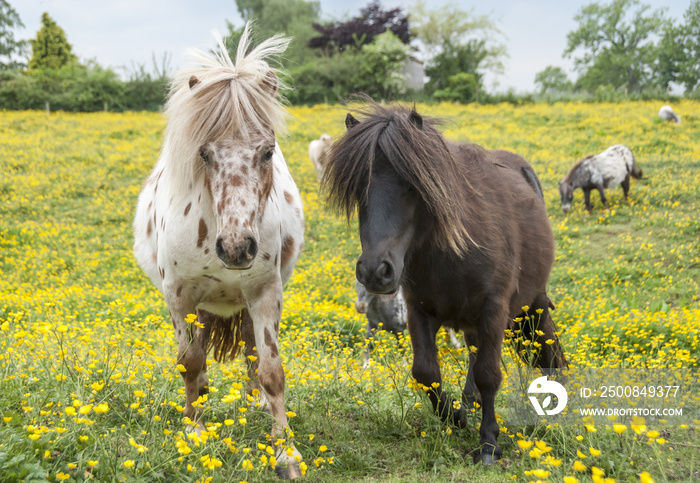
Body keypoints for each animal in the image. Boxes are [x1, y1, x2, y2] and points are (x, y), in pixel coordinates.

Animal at [133, 23, 304, 480]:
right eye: (205, 153)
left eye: (267, 151)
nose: (237, 247)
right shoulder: (180, 297)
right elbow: (190, 362)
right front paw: (193, 433)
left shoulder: (265, 294)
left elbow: (270, 369)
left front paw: (285, 452)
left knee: (248, 350)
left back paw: (251, 403)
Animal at [326, 101, 568, 466]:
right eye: (357, 189)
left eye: (412, 185)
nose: (374, 272)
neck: (451, 251)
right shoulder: (419, 312)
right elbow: (426, 373)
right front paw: (456, 415)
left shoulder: (493, 310)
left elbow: (488, 374)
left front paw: (488, 443)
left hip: (532, 304)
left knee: (543, 350)